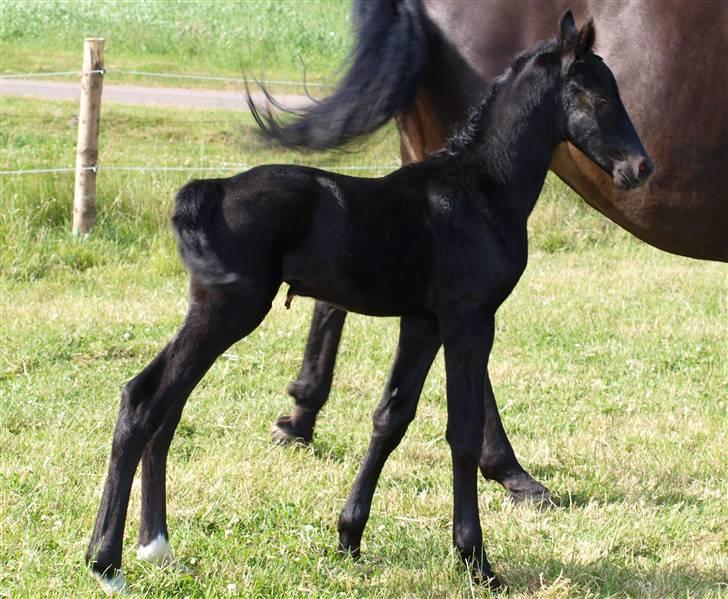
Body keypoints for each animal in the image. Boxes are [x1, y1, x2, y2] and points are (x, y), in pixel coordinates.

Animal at [88, 11, 652, 592]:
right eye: (600, 97)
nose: (640, 167)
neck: (479, 190)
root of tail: (212, 189)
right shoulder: (469, 320)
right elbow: (463, 432)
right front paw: (475, 560)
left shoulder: (422, 324)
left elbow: (391, 418)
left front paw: (349, 536)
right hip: (227, 311)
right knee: (145, 400)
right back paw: (107, 563)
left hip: (213, 312)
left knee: (165, 408)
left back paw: (157, 549)